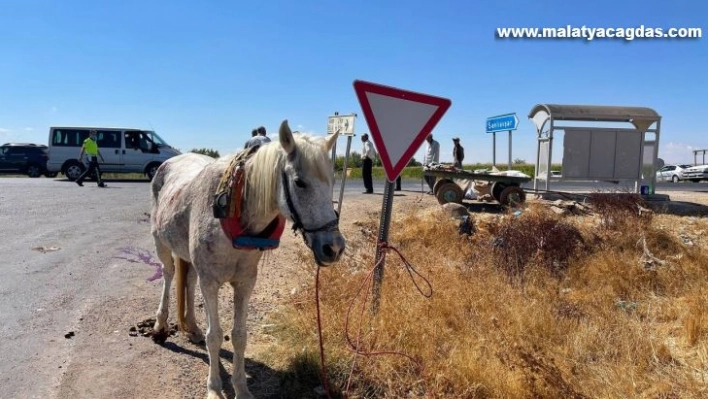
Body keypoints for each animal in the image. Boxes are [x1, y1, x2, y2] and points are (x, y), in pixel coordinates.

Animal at [151, 120, 346, 398]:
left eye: (332, 181)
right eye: (299, 182)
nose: (334, 247)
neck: (230, 211)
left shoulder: (245, 283)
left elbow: (239, 336)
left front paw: (241, 388)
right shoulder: (210, 283)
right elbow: (215, 336)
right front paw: (214, 388)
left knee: (187, 280)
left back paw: (193, 327)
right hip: (160, 242)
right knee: (168, 275)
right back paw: (160, 325)